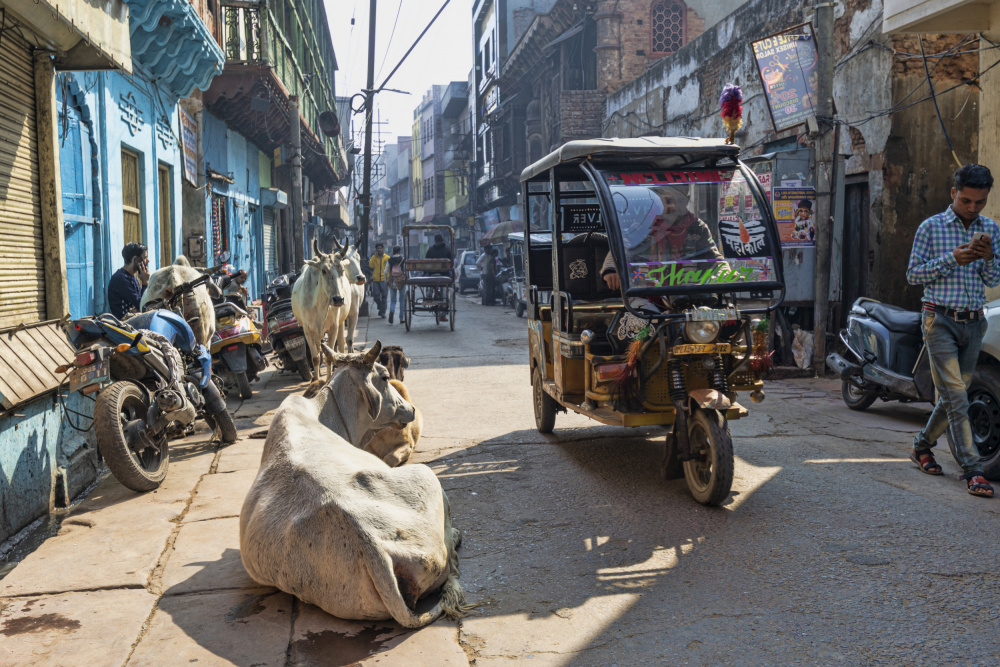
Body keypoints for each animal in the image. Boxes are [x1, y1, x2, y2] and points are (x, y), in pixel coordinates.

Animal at [239, 342, 472, 628]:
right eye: (385, 376)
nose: (411, 408)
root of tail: (368, 543)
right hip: (426, 476)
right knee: (451, 559)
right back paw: (456, 536)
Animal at [292, 237, 350, 394]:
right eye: (323, 270)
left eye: (342, 270)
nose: (338, 299)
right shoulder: (307, 329)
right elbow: (315, 358)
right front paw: (315, 381)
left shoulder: (333, 327)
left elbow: (329, 357)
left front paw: (328, 380)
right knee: (318, 350)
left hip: (340, 323)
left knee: (340, 344)